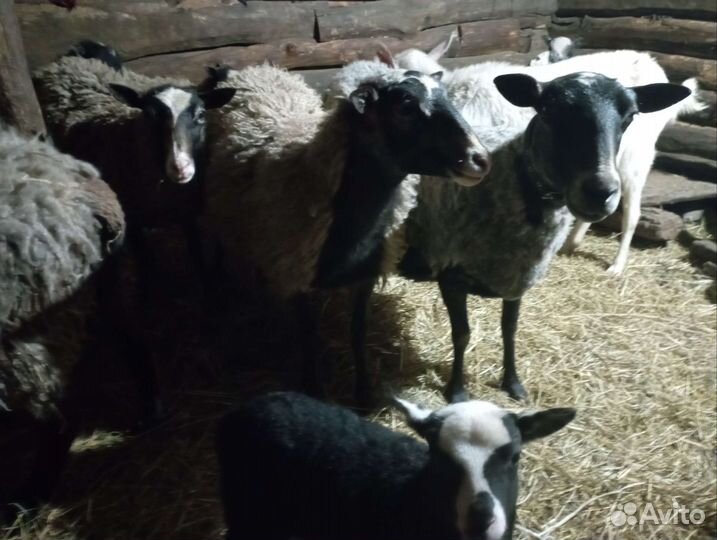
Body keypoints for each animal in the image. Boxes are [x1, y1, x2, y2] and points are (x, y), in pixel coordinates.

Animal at [203, 60, 490, 400]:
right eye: (405, 106)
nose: (480, 159)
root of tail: (244, 69)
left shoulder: (365, 276)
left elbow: (357, 331)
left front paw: (364, 390)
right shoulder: (297, 275)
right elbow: (309, 336)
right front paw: (313, 389)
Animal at [346, 49, 694, 404]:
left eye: (630, 116)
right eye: (549, 109)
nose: (600, 192)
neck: (513, 182)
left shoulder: (517, 276)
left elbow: (509, 330)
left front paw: (513, 383)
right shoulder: (452, 274)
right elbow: (462, 334)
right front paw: (457, 391)